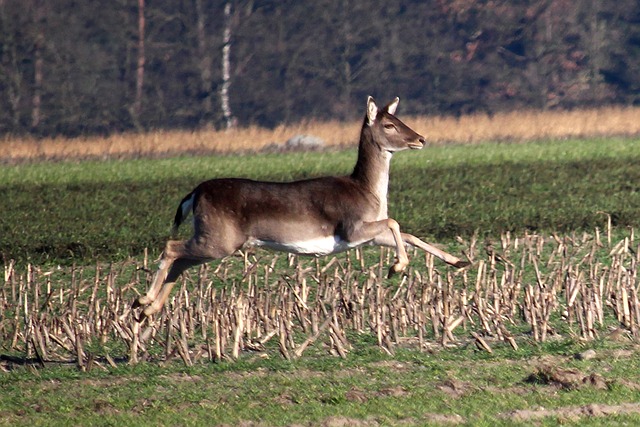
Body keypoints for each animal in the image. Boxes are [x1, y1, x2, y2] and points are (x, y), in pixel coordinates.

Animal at [135, 97, 468, 318]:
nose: (421, 139)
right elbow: (395, 222)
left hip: (214, 237)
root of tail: (194, 194)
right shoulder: (351, 227)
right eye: (389, 124)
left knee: (180, 261)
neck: (368, 193)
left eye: (401, 120)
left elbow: (407, 234)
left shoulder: (367, 235)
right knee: (171, 247)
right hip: (219, 237)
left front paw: (458, 261)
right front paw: (396, 267)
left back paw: (149, 310)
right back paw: (143, 301)